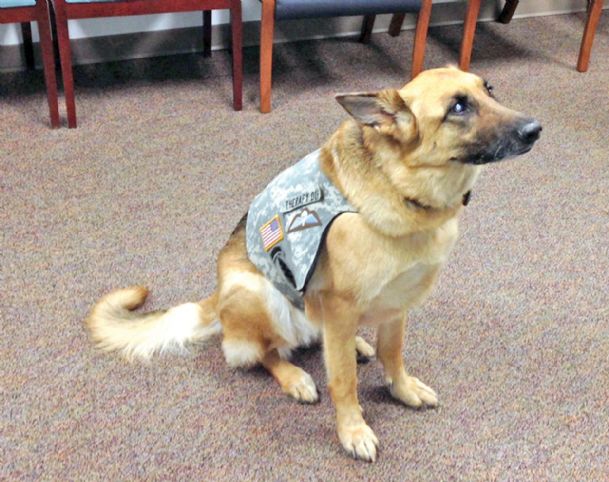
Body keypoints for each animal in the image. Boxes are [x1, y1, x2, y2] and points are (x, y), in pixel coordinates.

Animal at [86, 66, 540, 462]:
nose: (535, 129)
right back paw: (296, 377)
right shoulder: (341, 305)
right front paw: (352, 430)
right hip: (257, 293)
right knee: (263, 353)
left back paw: (355, 344)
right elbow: (344, 381)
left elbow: (392, 353)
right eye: (458, 107)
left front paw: (401, 388)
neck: (404, 191)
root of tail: (214, 299)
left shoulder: (397, 304)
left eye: (489, 89)